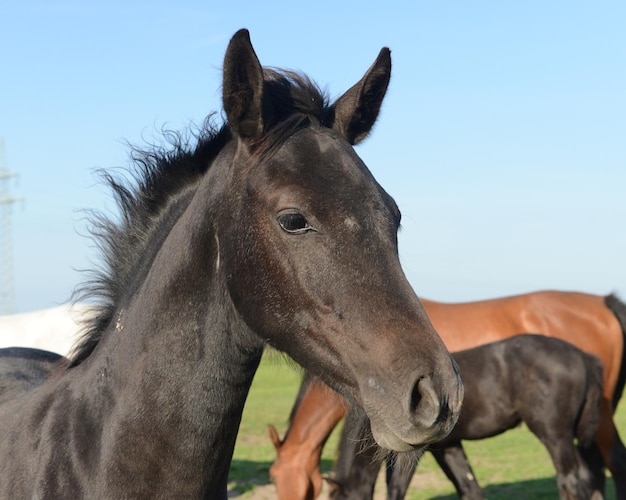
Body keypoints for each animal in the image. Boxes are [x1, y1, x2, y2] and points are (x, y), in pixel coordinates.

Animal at [266, 292, 624, 498]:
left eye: (277, 478)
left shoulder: (412, 453)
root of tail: (582, 356)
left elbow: (396, 490)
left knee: (577, 478)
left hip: (556, 435)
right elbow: (469, 487)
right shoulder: (448, 447)